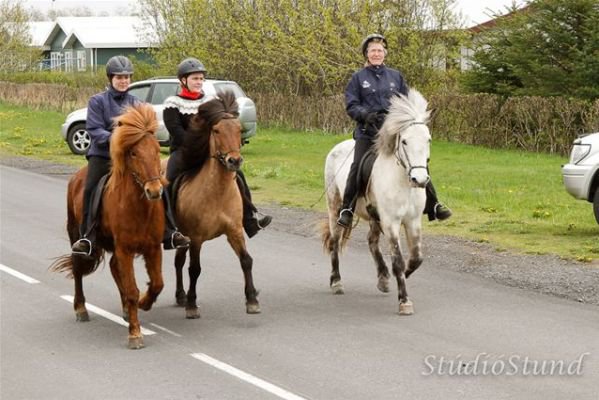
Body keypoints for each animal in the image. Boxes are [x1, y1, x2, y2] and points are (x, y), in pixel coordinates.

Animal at [49, 104, 165, 350]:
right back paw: (81, 309)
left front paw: (144, 303)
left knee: (113, 267)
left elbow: (157, 284)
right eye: (134, 153)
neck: (138, 207)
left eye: (156, 150)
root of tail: (77, 176)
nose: (154, 191)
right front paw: (135, 334)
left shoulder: (152, 248)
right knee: (78, 269)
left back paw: (125, 311)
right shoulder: (125, 249)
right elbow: (131, 290)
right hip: (76, 235)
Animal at [166, 90, 258, 318]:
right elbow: (195, 269)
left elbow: (246, 260)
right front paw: (192, 306)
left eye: (238, 129)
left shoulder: (234, 231)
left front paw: (252, 300)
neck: (217, 193)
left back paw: (180, 296)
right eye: (216, 130)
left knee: (178, 261)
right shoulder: (197, 238)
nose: (234, 161)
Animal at [324, 89, 432, 314]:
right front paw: (404, 301)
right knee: (335, 241)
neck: (403, 182)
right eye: (405, 141)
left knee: (371, 241)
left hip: (374, 216)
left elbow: (416, 257)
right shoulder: (391, 222)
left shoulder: (413, 221)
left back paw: (383, 277)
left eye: (428, 140)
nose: (420, 179)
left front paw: (405, 274)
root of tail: (338, 146)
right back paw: (336, 282)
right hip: (335, 207)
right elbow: (398, 261)